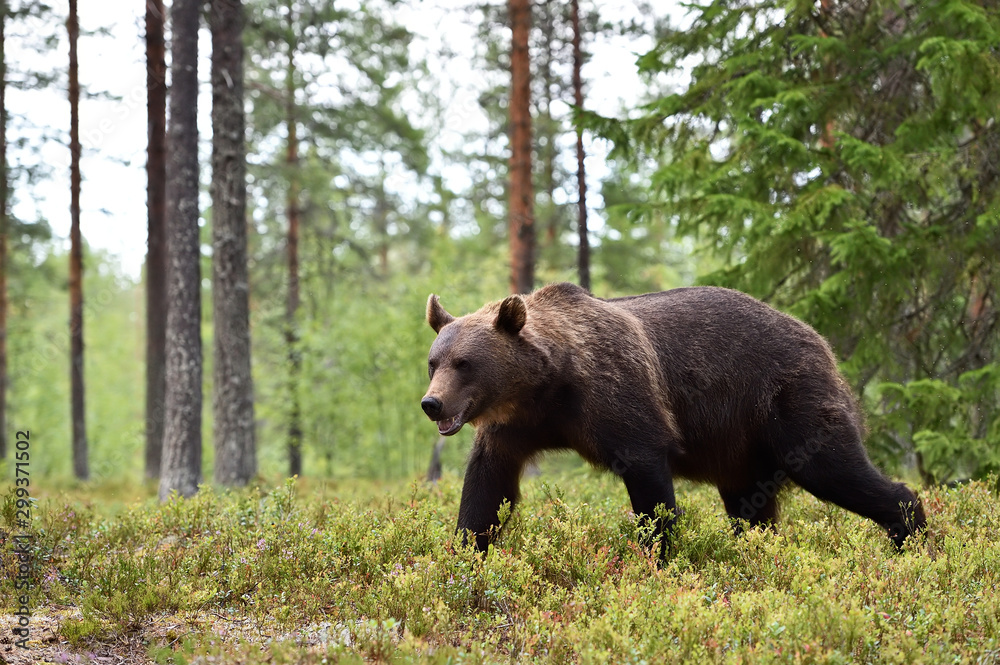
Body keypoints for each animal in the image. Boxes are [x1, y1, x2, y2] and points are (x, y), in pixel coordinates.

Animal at [420, 282, 926, 556]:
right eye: (434, 362)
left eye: (465, 363)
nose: (432, 404)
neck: (546, 386)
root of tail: (820, 340)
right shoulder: (516, 427)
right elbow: (488, 485)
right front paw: (466, 551)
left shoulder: (617, 397)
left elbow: (649, 481)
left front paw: (657, 555)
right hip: (740, 445)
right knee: (751, 506)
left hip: (786, 398)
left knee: (833, 468)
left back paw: (911, 530)